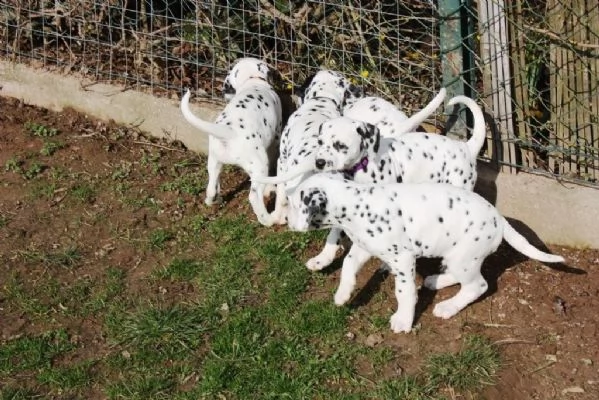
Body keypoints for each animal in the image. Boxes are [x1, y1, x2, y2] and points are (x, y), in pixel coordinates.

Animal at [179, 57, 282, 225]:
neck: (252, 81)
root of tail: (228, 132)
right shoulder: (277, 135)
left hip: (214, 161)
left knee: (211, 187)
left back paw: (212, 200)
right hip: (259, 165)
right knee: (254, 195)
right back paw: (267, 219)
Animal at [288, 173, 564, 332]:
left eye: (293, 203)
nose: (288, 222)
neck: (357, 204)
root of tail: (499, 218)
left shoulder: (402, 259)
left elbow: (404, 292)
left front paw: (403, 320)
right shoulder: (363, 248)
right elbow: (347, 266)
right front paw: (343, 295)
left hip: (463, 258)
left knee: (478, 285)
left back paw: (448, 307)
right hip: (456, 257)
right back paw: (435, 280)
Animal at [310, 96, 488, 272]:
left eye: (340, 146)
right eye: (319, 142)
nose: (319, 163)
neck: (361, 167)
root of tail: (466, 147)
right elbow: (334, 233)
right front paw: (322, 259)